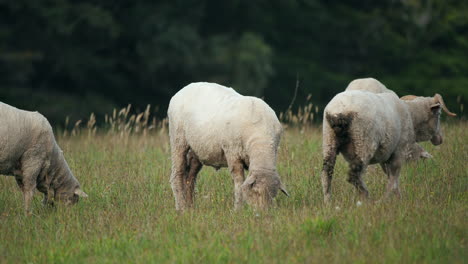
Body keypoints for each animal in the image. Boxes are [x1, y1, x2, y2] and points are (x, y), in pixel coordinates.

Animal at [166, 82, 288, 210]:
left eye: (273, 195)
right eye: (256, 192)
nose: (263, 213)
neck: (260, 141)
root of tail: (185, 88)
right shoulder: (232, 152)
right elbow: (239, 182)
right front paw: (238, 209)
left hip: (197, 149)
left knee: (190, 178)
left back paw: (191, 208)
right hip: (178, 139)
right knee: (177, 175)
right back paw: (181, 208)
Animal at [320, 78, 456, 202]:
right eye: (439, 114)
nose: (440, 139)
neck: (411, 115)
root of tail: (339, 111)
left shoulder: (385, 156)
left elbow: (390, 176)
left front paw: (396, 197)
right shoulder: (399, 151)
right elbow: (393, 179)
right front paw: (390, 200)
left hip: (329, 140)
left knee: (327, 173)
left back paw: (328, 202)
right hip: (363, 142)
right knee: (354, 175)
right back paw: (367, 198)